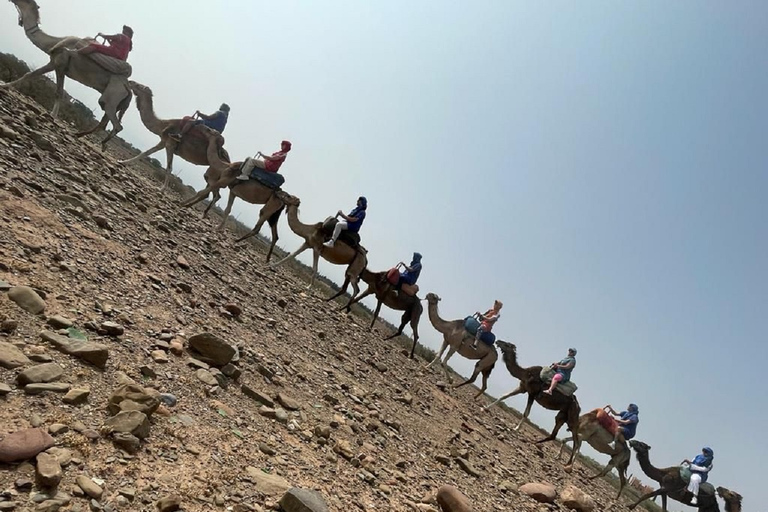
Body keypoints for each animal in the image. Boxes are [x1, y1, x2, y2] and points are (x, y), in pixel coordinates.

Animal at [1, 0, 132, 149]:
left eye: (27, 1)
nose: (13, 0)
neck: (55, 42)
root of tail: (128, 90)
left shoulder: (61, 66)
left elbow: (59, 92)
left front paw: (52, 115)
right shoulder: (52, 63)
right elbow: (29, 74)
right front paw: (4, 85)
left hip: (113, 96)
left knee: (117, 125)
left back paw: (102, 144)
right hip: (116, 101)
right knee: (105, 122)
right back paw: (79, 135)